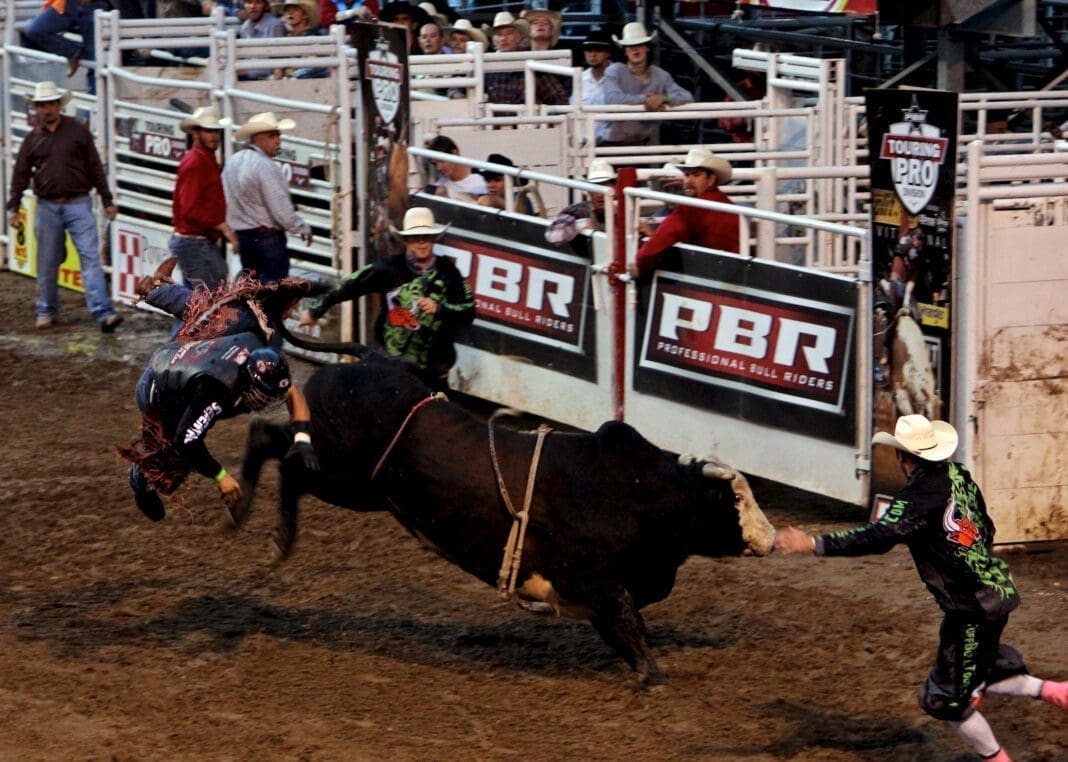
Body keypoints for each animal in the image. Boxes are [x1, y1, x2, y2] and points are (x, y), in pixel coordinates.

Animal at [233, 356, 777, 683]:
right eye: (736, 500)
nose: (773, 538)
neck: (638, 495)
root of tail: (341, 371)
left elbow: (625, 626)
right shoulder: (597, 582)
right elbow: (629, 625)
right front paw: (653, 678)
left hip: (363, 489)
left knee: (275, 443)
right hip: (340, 474)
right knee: (275, 447)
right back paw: (265, 526)